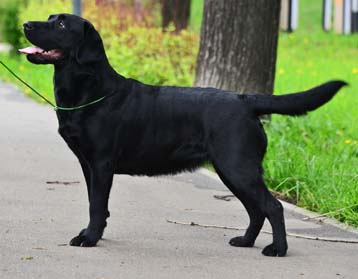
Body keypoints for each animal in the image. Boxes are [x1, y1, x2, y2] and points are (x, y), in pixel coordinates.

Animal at [20, 14, 346, 258]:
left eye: (62, 25)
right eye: (50, 19)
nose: (26, 25)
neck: (90, 90)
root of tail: (244, 99)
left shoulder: (101, 164)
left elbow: (96, 205)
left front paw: (89, 238)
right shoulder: (88, 165)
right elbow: (95, 203)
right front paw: (93, 234)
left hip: (238, 167)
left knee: (272, 207)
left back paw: (278, 249)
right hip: (232, 170)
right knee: (256, 209)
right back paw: (245, 241)